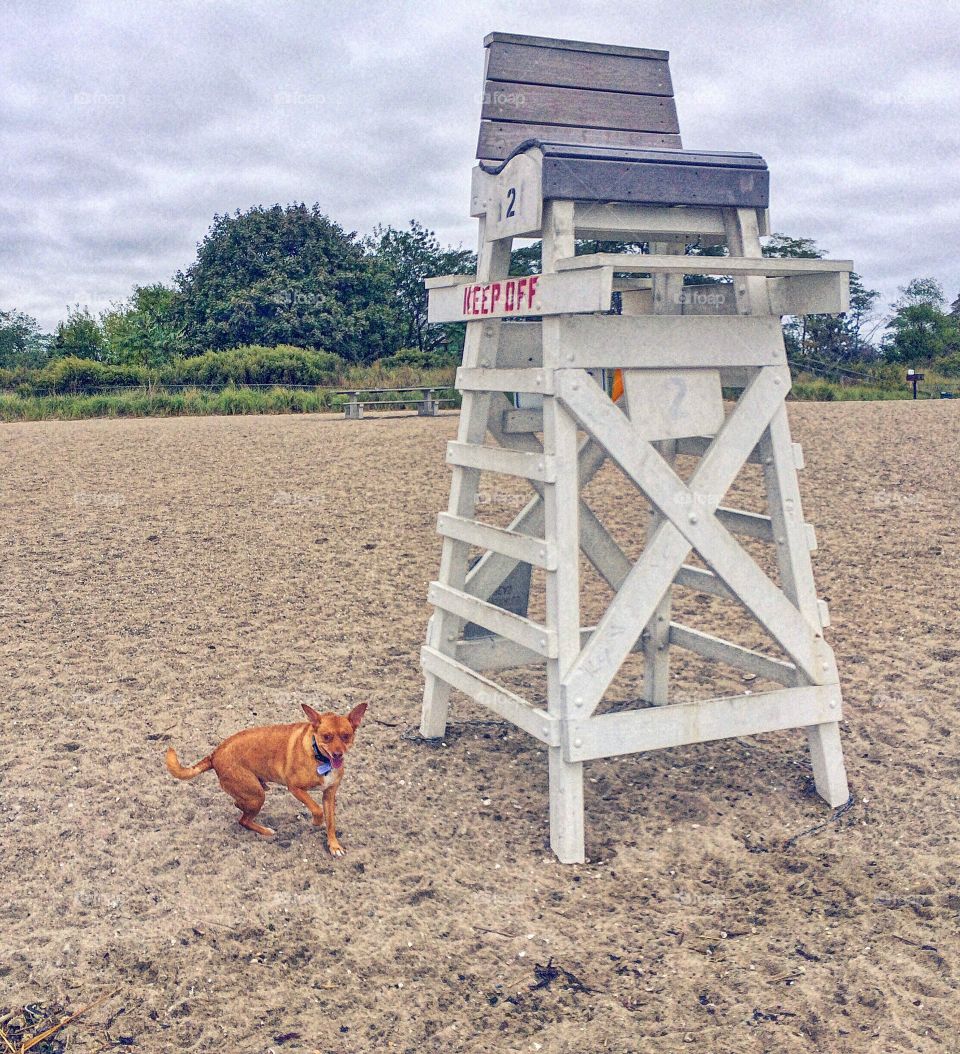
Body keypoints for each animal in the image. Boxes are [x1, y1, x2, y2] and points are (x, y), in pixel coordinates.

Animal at [165, 699, 364, 855]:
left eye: (346, 736)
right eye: (326, 736)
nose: (338, 754)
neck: (319, 757)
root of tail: (214, 754)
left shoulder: (329, 794)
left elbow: (331, 823)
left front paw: (334, 846)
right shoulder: (295, 788)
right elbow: (316, 809)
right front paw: (316, 821)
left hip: (254, 793)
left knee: (240, 807)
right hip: (256, 796)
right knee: (243, 819)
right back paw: (265, 831)